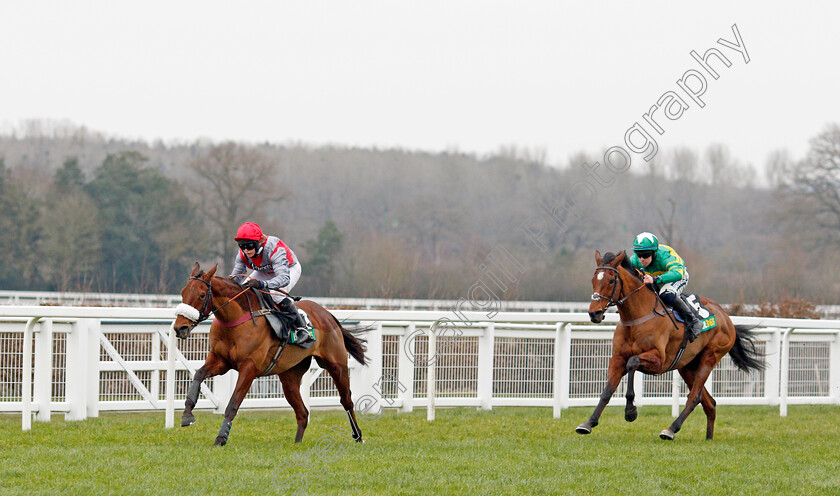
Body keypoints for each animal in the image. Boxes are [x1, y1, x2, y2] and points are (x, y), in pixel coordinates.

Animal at [172, 262, 366, 448]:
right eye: (182, 292)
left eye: (202, 295)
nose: (180, 328)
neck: (235, 320)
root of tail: (328, 314)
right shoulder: (220, 361)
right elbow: (198, 374)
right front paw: (187, 415)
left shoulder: (249, 367)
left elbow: (233, 404)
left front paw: (221, 438)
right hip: (289, 376)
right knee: (303, 413)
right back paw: (297, 443)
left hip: (336, 365)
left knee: (346, 400)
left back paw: (358, 436)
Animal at [576, 250, 760, 440]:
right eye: (593, 279)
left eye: (612, 280)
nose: (594, 313)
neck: (637, 317)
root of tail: (726, 317)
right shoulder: (617, 358)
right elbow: (607, 391)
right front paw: (588, 423)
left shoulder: (658, 361)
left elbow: (632, 363)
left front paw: (630, 412)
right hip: (687, 365)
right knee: (709, 402)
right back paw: (708, 437)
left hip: (710, 357)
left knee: (694, 397)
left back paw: (670, 429)